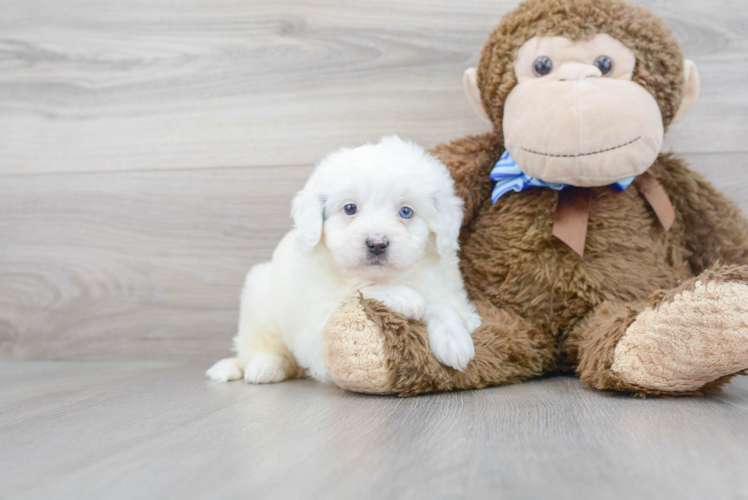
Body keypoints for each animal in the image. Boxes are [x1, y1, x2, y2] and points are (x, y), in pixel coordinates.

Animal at [207, 135, 482, 384]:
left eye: (406, 212)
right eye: (350, 208)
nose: (377, 244)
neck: (385, 275)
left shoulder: (446, 290)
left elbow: (444, 307)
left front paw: (453, 340)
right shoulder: (318, 320)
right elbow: (356, 293)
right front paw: (404, 297)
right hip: (260, 301)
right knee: (262, 346)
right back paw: (264, 367)